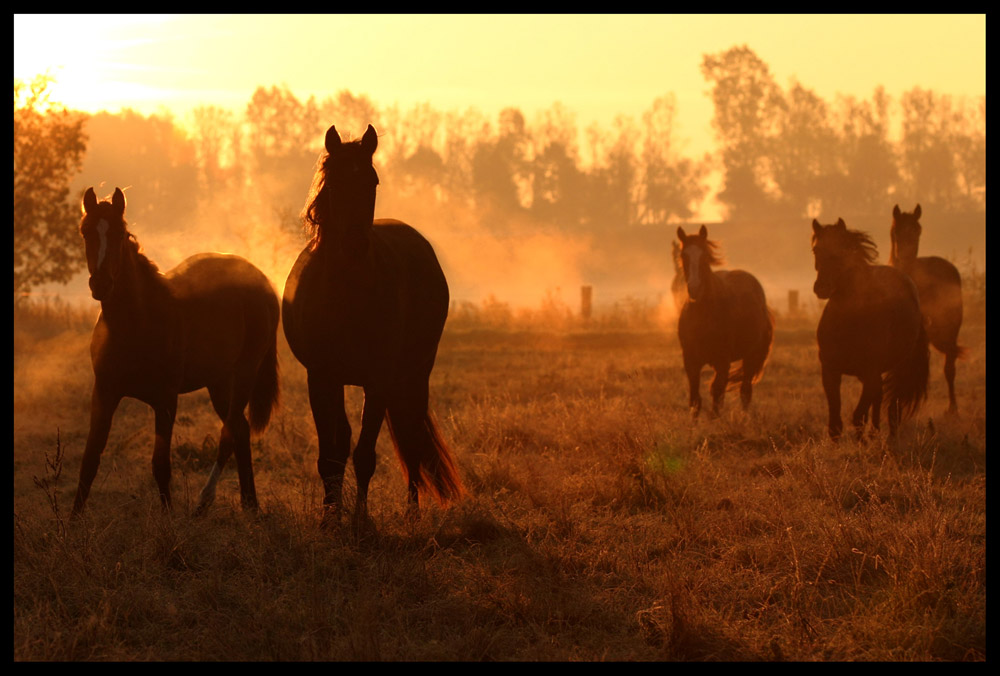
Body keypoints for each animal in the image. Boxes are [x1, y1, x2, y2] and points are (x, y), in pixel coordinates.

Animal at [72, 187, 280, 516]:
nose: (101, 284)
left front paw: (169, 520)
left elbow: (160, 464)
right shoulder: (104, 393)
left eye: (120, 233)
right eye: (86, 232)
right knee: (240, 430)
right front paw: (71, 522)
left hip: (244, 374)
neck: (137, 321)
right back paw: (249, 504)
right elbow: (89, 460)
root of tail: (263, 281)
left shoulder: (166, 400)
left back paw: (205, 501)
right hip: (219, 382)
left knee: (229, 434)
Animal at [280, 123, 462, 524]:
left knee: (411, 436)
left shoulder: (378, 380)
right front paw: (329, 518)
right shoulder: (322, 377)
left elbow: (365, 455)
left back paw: (412, 511)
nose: (353, 245)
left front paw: (361, 520)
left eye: (372, 181)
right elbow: (330, 455)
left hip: (415, 374)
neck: (347, 293)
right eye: (333, 181)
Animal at [676, 226, 776, 418]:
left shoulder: (722, 360)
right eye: (684, 255)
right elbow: (695, 400)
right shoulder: (691, 361)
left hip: (750, 357)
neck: (704, 315)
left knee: (745, 391)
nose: (694, 288)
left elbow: (717, 393)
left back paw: (744, 419)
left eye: (705, 256)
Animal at [812, 217, 928, 438]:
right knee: (879, 398)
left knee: (892, 405)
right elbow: (835, 424)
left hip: (896, 369)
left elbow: (858, 417)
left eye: (843, 248)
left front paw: (863, 442)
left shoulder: (871, 373)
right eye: (815, 249)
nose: (822, 287)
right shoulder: (830, 371)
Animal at [892, 203, 960, 412]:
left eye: (918, 231)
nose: (905, 259)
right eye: (895, 231)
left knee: (949, 367)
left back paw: (953, 409)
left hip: (949, 331)